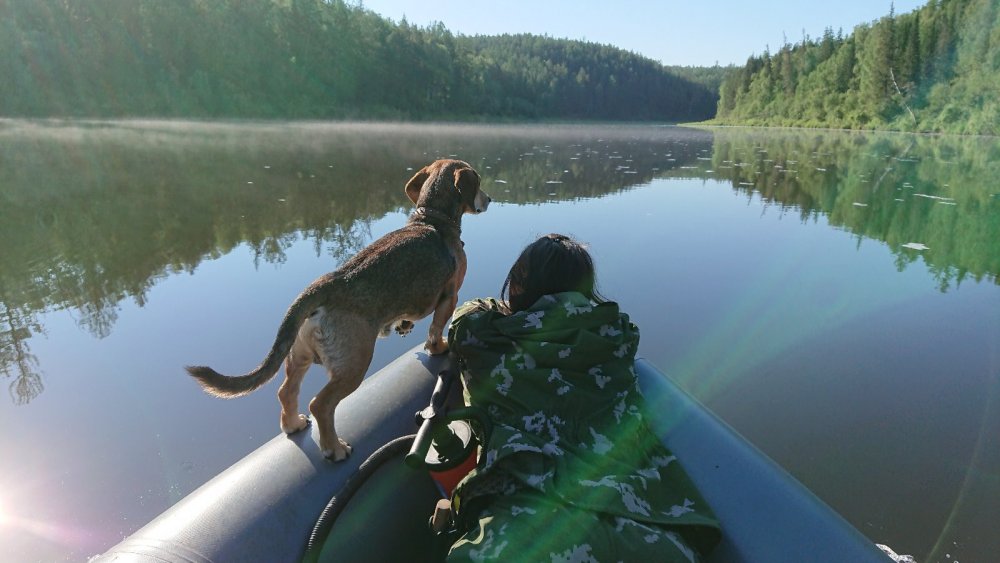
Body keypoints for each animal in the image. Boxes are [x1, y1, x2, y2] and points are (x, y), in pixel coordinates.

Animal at [186, 161, 490, 460]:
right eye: (477, 182)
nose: (488, 199)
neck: (432, 218)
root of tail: (326, 285)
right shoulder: (450, 296)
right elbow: (436, 329)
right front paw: (439, 348)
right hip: (354, 364)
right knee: (320, 404)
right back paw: (334, 447)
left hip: (299, 355)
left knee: (286, 392)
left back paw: (293, 424)